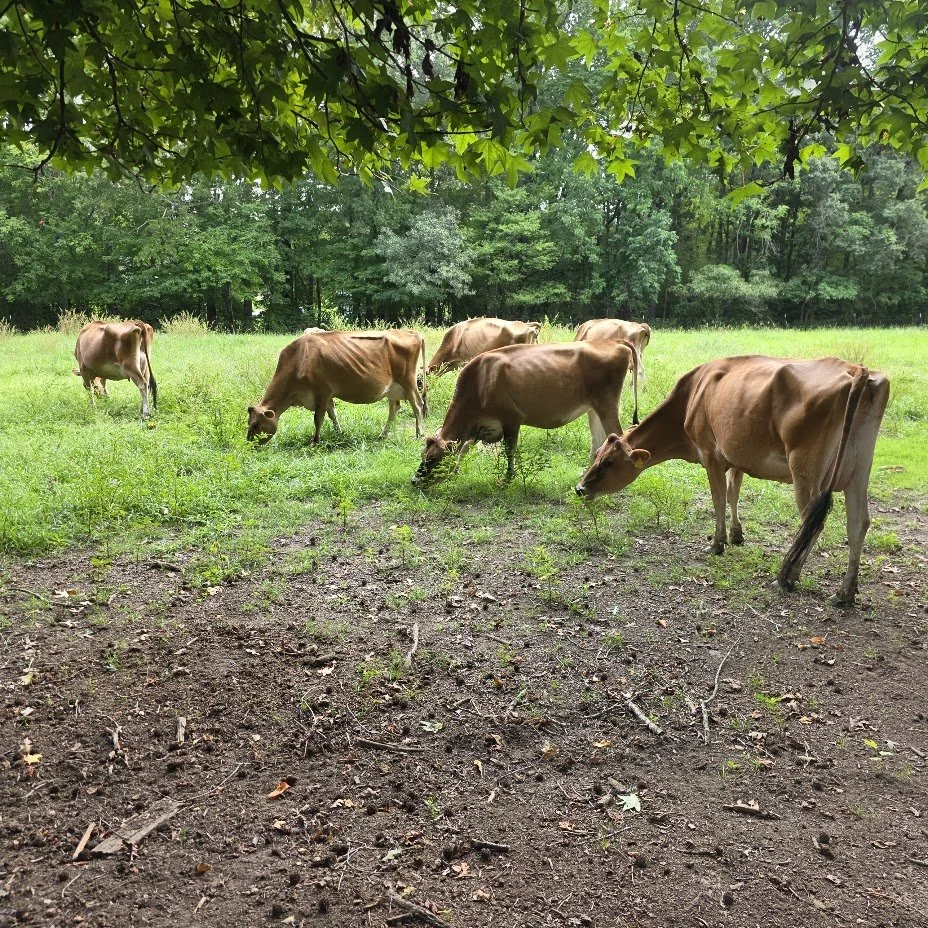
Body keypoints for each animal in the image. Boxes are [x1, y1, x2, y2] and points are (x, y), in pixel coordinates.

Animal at [248, 329, 428, 444]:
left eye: (255, 425)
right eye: (249, 422)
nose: (249, 443)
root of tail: (413, 333)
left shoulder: (321, 392)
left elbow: (318, 419)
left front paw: (315, 442)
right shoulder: (327, 395)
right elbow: (333, 415)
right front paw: (339, 433)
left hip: (408, 381)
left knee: (418, 405)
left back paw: (419, 433)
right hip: (393, 388)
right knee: (395, 408)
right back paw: (383, 434)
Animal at [413, 339, 639, 485]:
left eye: (432, 459)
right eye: (422, 454)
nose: (414, 480)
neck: (480, 382)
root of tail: (614, 342)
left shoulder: (511, 419)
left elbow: (509, 450)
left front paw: (508, 478)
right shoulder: (481, 427)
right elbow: (464, 448)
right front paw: (455, 471)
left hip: (607, 404)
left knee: (617, 434)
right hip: (593, 408)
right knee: (599, 439)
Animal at [575, 356, 890, 605]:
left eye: (608, 462)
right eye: (597, 455)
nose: (579, 488)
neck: (691, 398)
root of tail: (857, 370)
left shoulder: (710, 454)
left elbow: (718, 498)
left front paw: (717, 543)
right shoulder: (737, 457)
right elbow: (733, 492)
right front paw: (737, 535)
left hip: (805, 470)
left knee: (812, 522)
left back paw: (787, 577)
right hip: (858, 471)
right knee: (858, 523)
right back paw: (845, 592)